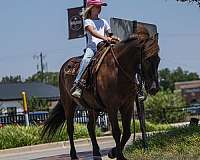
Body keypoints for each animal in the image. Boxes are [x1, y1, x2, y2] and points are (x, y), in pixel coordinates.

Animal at [41, 23, 159, 160]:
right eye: (147, 59)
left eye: (158, 59)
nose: (154, 88)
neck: (117, 70)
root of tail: (64, 67)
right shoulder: (112, 107)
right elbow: (116, 131)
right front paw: (118, 155)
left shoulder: (127, 105)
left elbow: (127, 132)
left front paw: (113, 153)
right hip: (69, 104)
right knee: (70, 129)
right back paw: (74, 155)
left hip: (93, 107)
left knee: (90, 127)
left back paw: (97, 154)